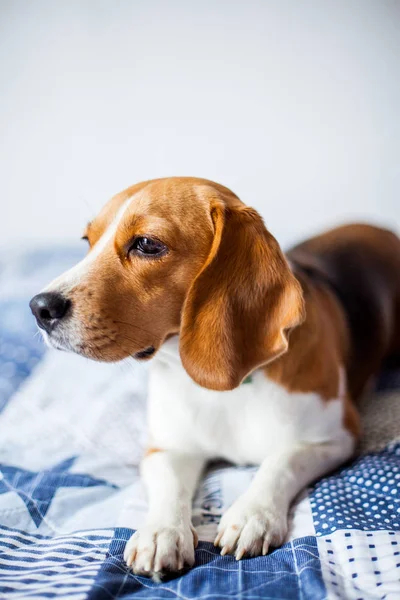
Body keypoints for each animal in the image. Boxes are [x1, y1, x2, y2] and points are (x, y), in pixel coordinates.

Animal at [30, 176, 400, 580]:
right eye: (87, 241)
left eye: (147, 244)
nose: (39, 307)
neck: (225, 391)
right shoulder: (165, 448)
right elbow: (169, 485)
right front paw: (161, 531)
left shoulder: (336, 437)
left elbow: (280, 462)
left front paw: (253, 514)